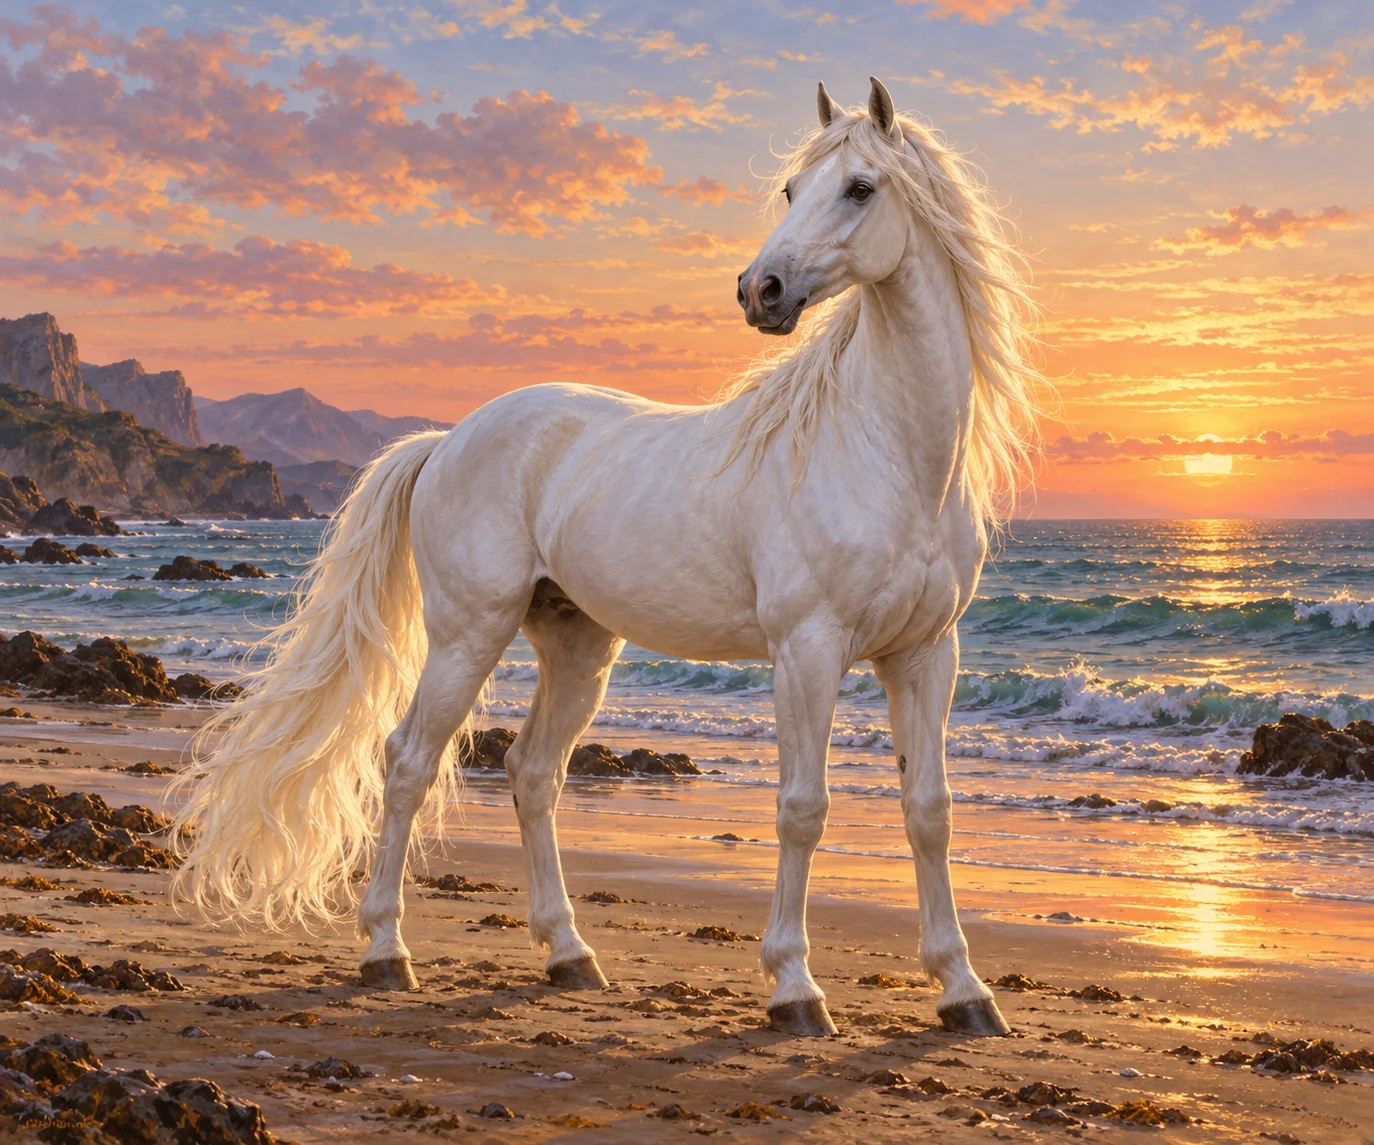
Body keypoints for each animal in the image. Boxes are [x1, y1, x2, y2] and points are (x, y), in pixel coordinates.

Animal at [172, 76, 1041, 1039]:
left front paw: (965, 990)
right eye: (789, 189)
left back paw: (568, 953)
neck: (885, 453)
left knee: (531, 773)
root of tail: (448, 439)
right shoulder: (807, 651)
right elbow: (802, 810)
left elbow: (929, 813)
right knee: (406, 763)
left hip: (578, 646)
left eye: (860, 188)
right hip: (467, 636)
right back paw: (386, 950)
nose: (761, 290)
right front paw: (793, 988)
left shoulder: (925, 655)